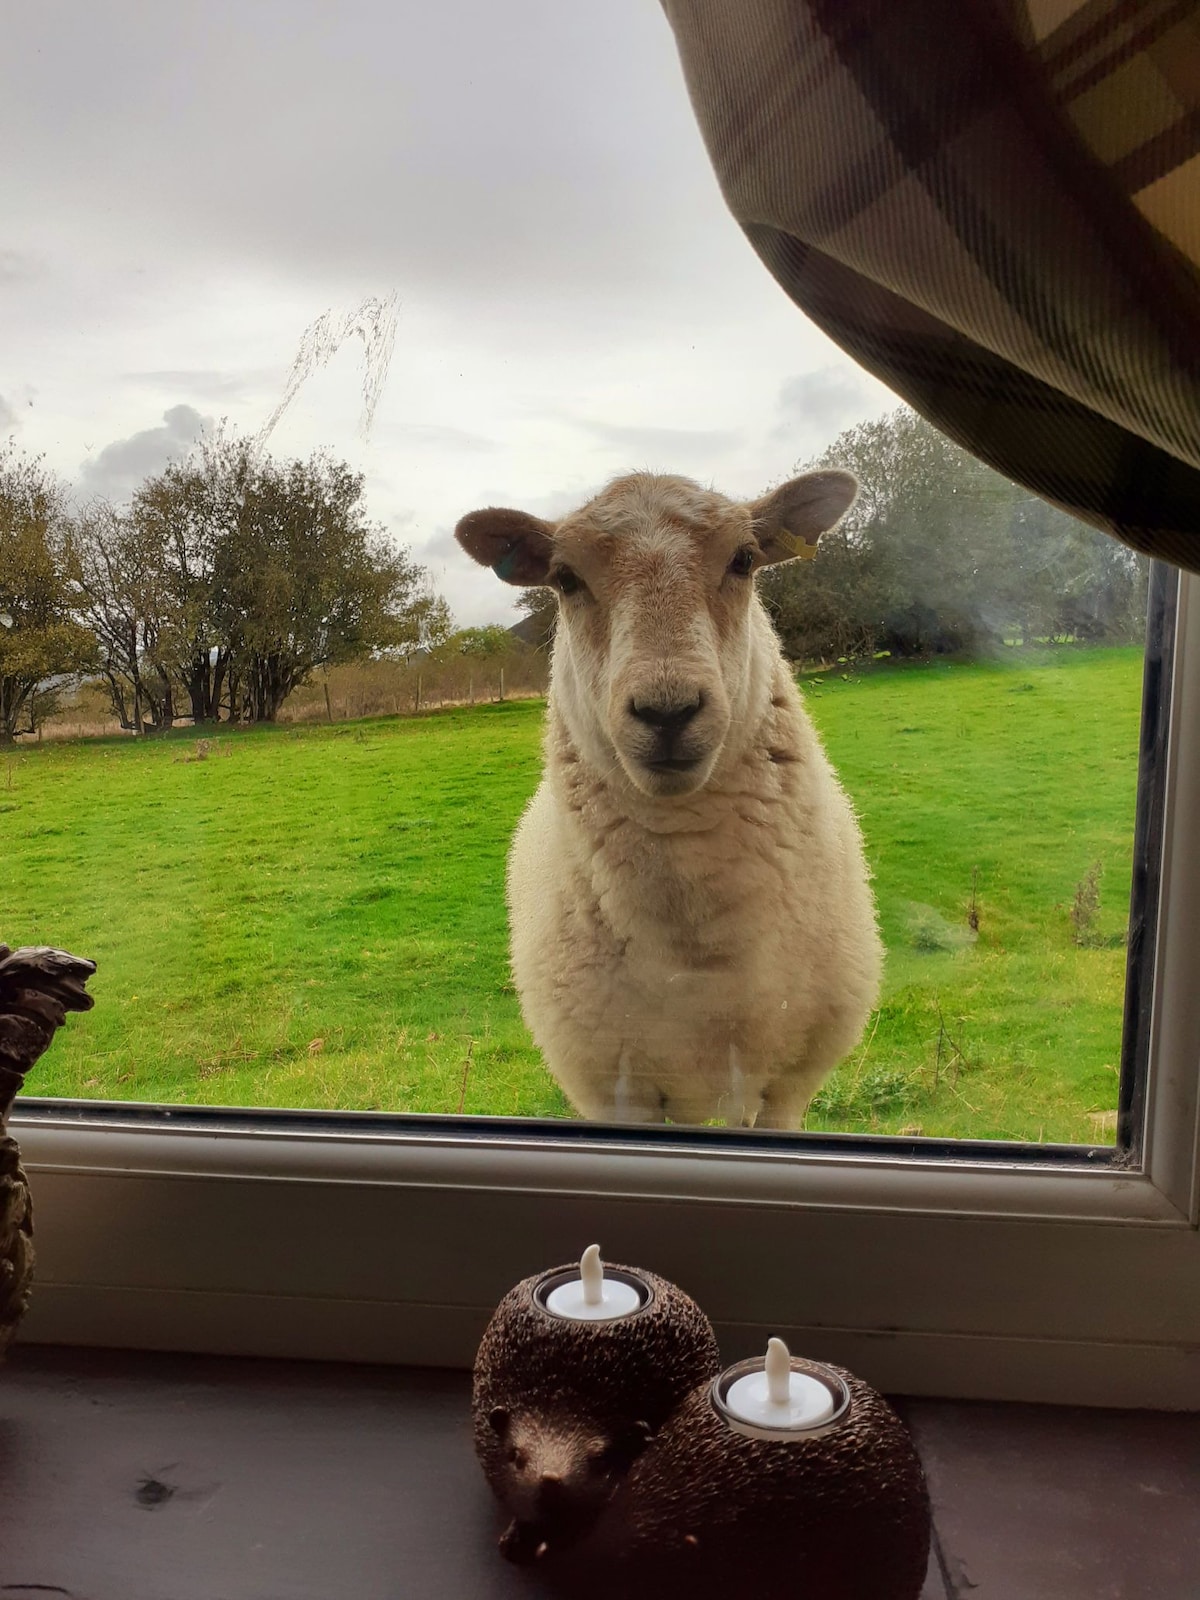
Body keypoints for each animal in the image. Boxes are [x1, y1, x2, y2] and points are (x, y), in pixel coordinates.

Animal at [454, 467, 889, 1132]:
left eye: (744, 560)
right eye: (565, 578)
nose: (667, 712)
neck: (697, 948)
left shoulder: (788, 1086)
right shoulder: (614, 1089)